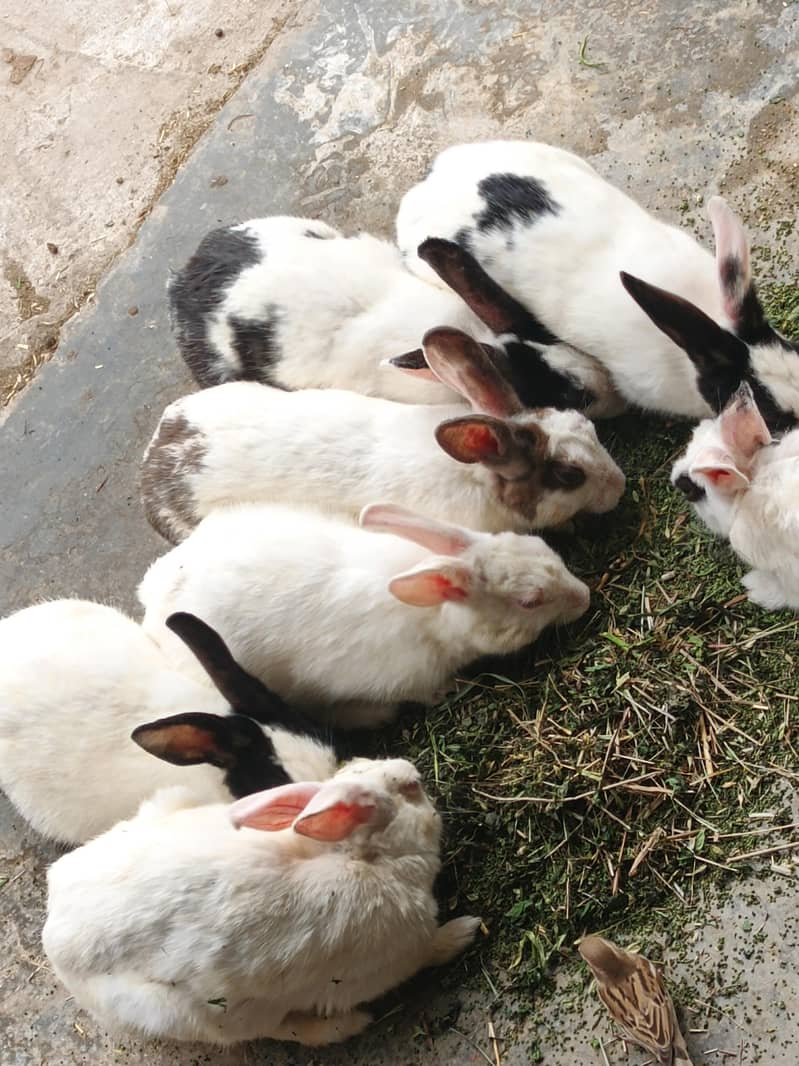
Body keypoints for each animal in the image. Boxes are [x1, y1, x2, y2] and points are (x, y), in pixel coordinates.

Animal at [43, 757, 481, 1046]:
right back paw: (351, 1024)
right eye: (410, 790)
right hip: (206, 1015)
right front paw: (466, 931)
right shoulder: (398, 957)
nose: (413, 770)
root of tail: (54, 930)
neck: (361, 857)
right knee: (282, 1030)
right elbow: (430, 951)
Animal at [138, 502, 591, 728]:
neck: (434, 619)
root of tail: (152, 604)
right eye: (530, 600)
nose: (585, 597)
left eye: (540, 547)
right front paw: (448, 691)